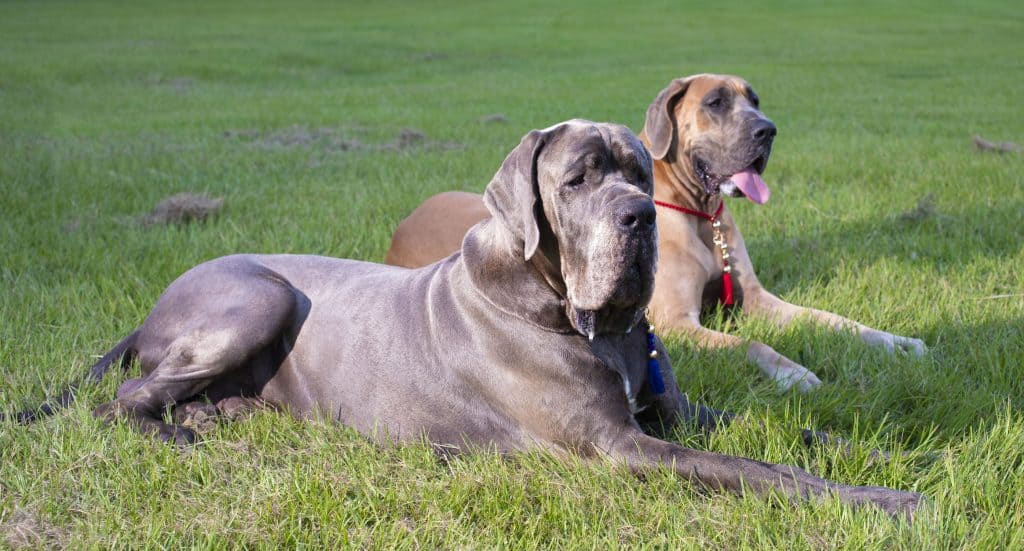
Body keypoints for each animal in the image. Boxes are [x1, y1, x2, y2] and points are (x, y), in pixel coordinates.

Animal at [12, 118, 921, 514]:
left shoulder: (670, 408)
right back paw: (181, 434)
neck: (592, 321)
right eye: (579, 178)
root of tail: (154, 305)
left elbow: (770, 429)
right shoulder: (622, 446)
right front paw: (885, 499)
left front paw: (867, 446)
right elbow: (755, 469)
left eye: (637, 169)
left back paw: (221, 417)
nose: (640, 218)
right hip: (259, 297)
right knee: (122, 401)